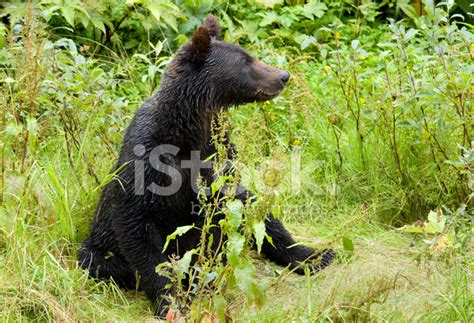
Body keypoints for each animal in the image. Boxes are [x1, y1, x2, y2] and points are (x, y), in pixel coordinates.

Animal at [78, 15, 334, 318]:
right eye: (246, 61)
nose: (283, 76)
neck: (188, 129)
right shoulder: (147, 162)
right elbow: (139, 231)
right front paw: (170, 301)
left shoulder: (218, 157)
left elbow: (239, 206)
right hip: (97, 248)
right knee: (100, 261)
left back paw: (315, 255)